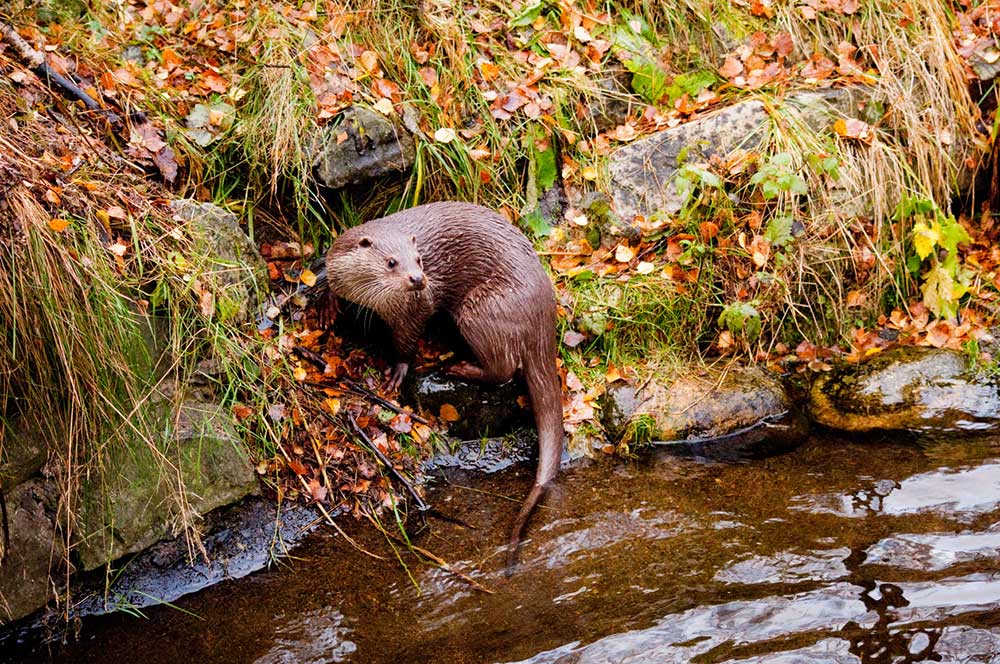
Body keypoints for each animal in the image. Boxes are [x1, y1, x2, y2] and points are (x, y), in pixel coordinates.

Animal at [325, 201, 563, 567]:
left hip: (480, 308)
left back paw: (455, 367)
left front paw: (398, 370)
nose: (417, 278)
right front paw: (328, 306)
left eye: (419, 259)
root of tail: (543, 317)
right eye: (391, 262)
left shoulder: (413, 309)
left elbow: (407, 340)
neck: (370, 299)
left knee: (504, 367)